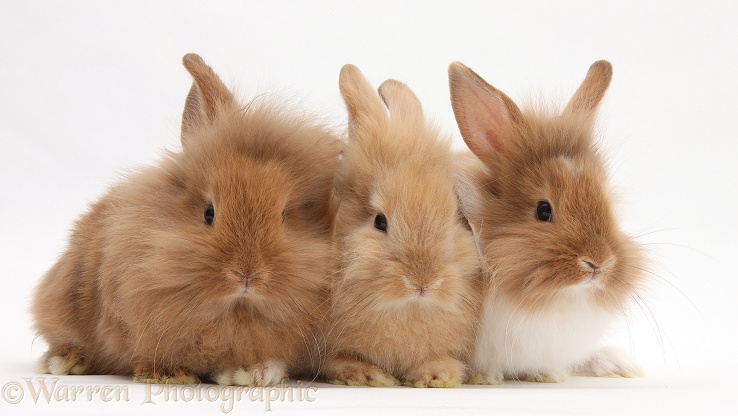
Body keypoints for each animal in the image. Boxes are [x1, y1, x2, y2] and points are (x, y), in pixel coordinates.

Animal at [28, 53, 340, 386]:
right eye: (209, 213)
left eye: (284, 216)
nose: (248, 274)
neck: (234, 311)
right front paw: (167, 373)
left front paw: (251, 373)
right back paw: (64, 361)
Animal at [320, 64, 480, 386]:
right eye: (380, 221)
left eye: (455, 217)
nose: (423, 282)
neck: (406, 309)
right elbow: (341, 360)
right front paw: (368, 376)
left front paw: (436, 376)